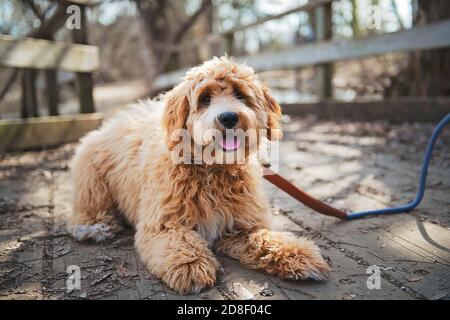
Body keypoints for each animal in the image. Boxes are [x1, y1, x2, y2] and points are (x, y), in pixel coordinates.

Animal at [69, 55, 330, 296]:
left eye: (240, 95)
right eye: (205, 98)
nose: (228, 117)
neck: (212, 170)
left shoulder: (239, 226)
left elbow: (266, 238)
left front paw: (298, 254)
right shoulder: (162, 225)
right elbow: (180, 242)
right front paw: (191, 265)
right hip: (92, 179)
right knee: (89, 207)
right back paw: (94, 227)